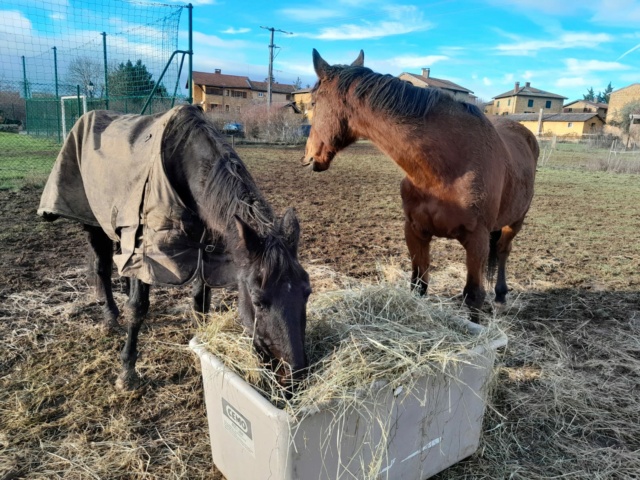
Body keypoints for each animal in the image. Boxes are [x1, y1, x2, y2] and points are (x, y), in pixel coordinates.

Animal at [38, 103, 312, 388]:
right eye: (258, 301)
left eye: (307, 292)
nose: (294, 374)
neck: (183, 160)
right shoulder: (149, 252)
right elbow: (137, 308)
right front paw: (127, 371)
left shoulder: (207, 253)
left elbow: (200, 303)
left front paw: (201, 346)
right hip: (94, 223)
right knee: (100, 268)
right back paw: (110, 317)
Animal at [302, 49, 536, 318]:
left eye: (313, 103)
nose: (307, 157)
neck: (445, 170)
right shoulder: (415, 232)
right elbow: (419, 285)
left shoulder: (477, 240)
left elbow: (473, 295)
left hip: (515, 222)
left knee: (504, 250)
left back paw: (500, 295)